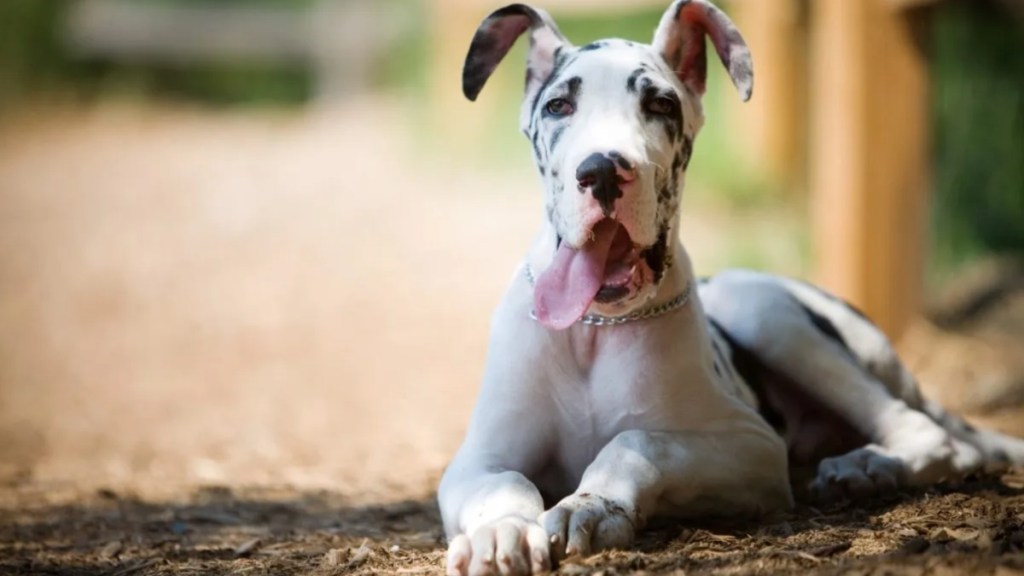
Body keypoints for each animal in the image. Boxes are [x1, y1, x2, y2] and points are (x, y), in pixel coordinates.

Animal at [434, 2, 1024, 569]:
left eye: (661, 106)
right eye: (558, 106)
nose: (601, 171)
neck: (595, 329)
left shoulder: (751, 446)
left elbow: (637, 441)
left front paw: (593, 505)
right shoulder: (476, 460)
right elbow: (505, 483)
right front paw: (501, 530)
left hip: (765, 313)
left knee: (930, 433)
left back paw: (870, 463)